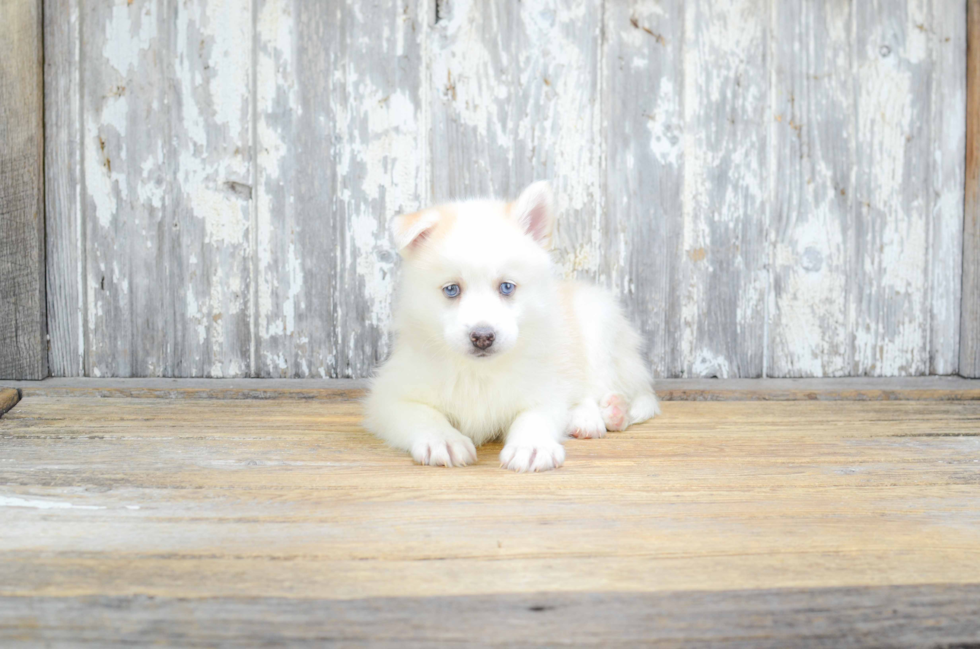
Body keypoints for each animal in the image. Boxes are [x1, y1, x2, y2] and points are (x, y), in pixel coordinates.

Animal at [364, 182, 664, 470]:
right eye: (451, 289)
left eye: (507, 287)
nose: (483, 337)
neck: (478, 373)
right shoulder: (389, 396)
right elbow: (422, 414)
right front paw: (444, 440)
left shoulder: (545, 385)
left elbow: (535, 415)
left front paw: (531, 446)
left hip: (596, 327)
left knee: (595, 388)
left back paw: (604, 415)